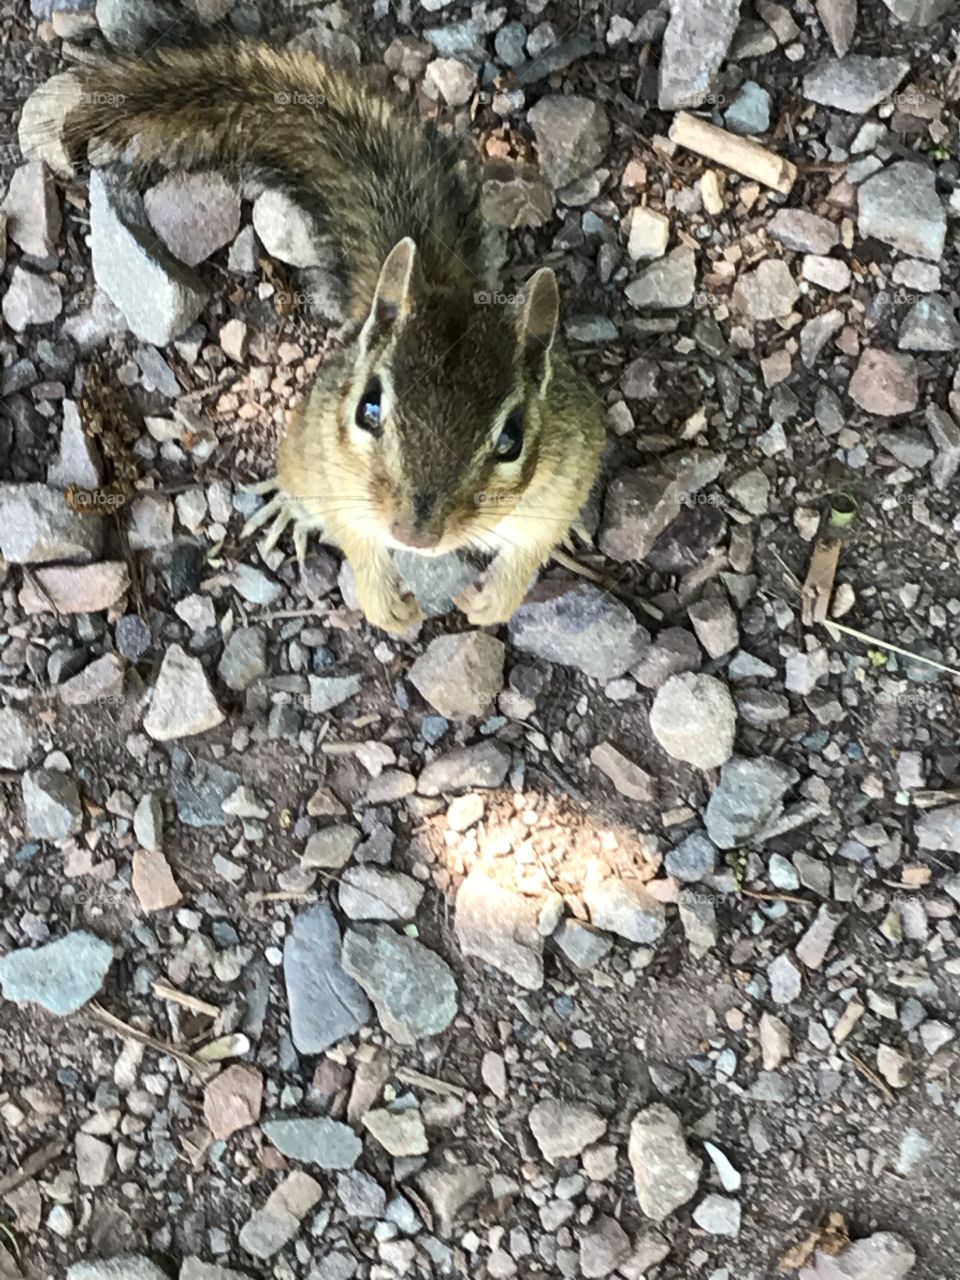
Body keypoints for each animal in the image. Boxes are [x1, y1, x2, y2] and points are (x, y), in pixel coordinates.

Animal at [61, 41, 606, 633]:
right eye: (369, 408)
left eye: (512, 440)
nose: (415, 536)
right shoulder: (337, 474)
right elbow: (356, 541)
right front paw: (385, 604)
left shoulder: (565, 470)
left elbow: (530, 550)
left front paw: (493, 601)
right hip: (306, 447)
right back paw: (290, 508)